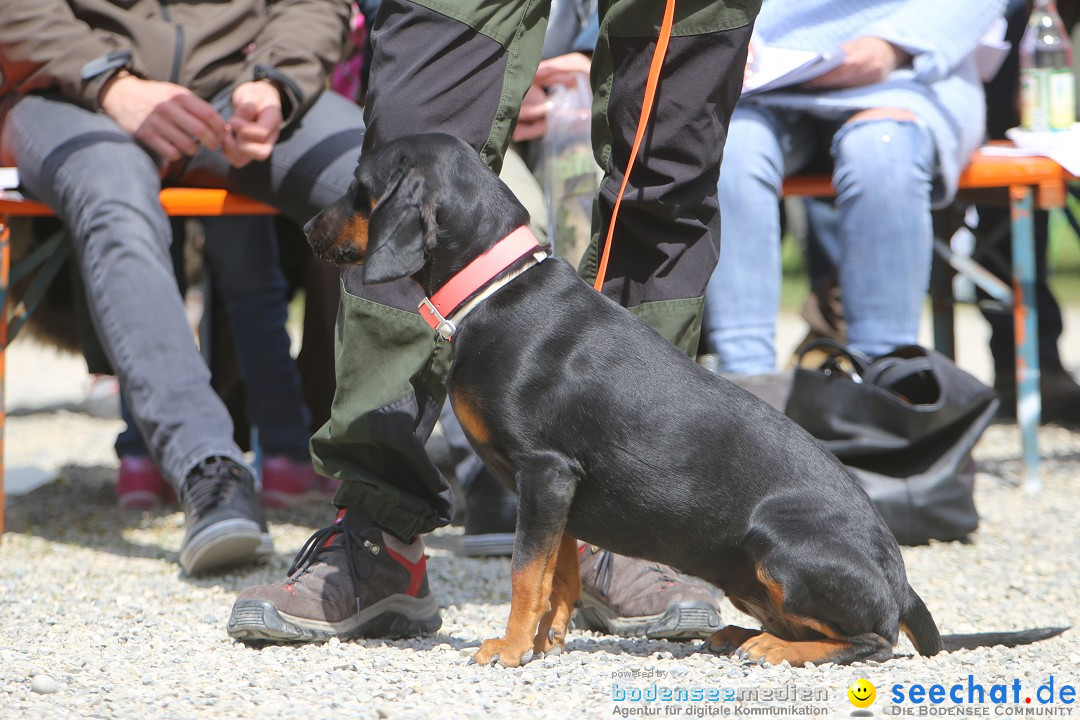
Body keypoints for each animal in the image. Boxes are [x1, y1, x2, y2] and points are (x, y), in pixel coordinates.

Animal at [306, 133, 1062, 669]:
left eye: (359, 188)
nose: (310, 229)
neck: (497, 290)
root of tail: (899, 580)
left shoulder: (544, 471)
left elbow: (526, 573)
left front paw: (513, 649)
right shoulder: (561, 487)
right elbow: (560, 575)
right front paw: (546, 645)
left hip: (776, 545)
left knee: (876, 640)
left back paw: (775, 649)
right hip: (745, 572)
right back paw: (733, 635)